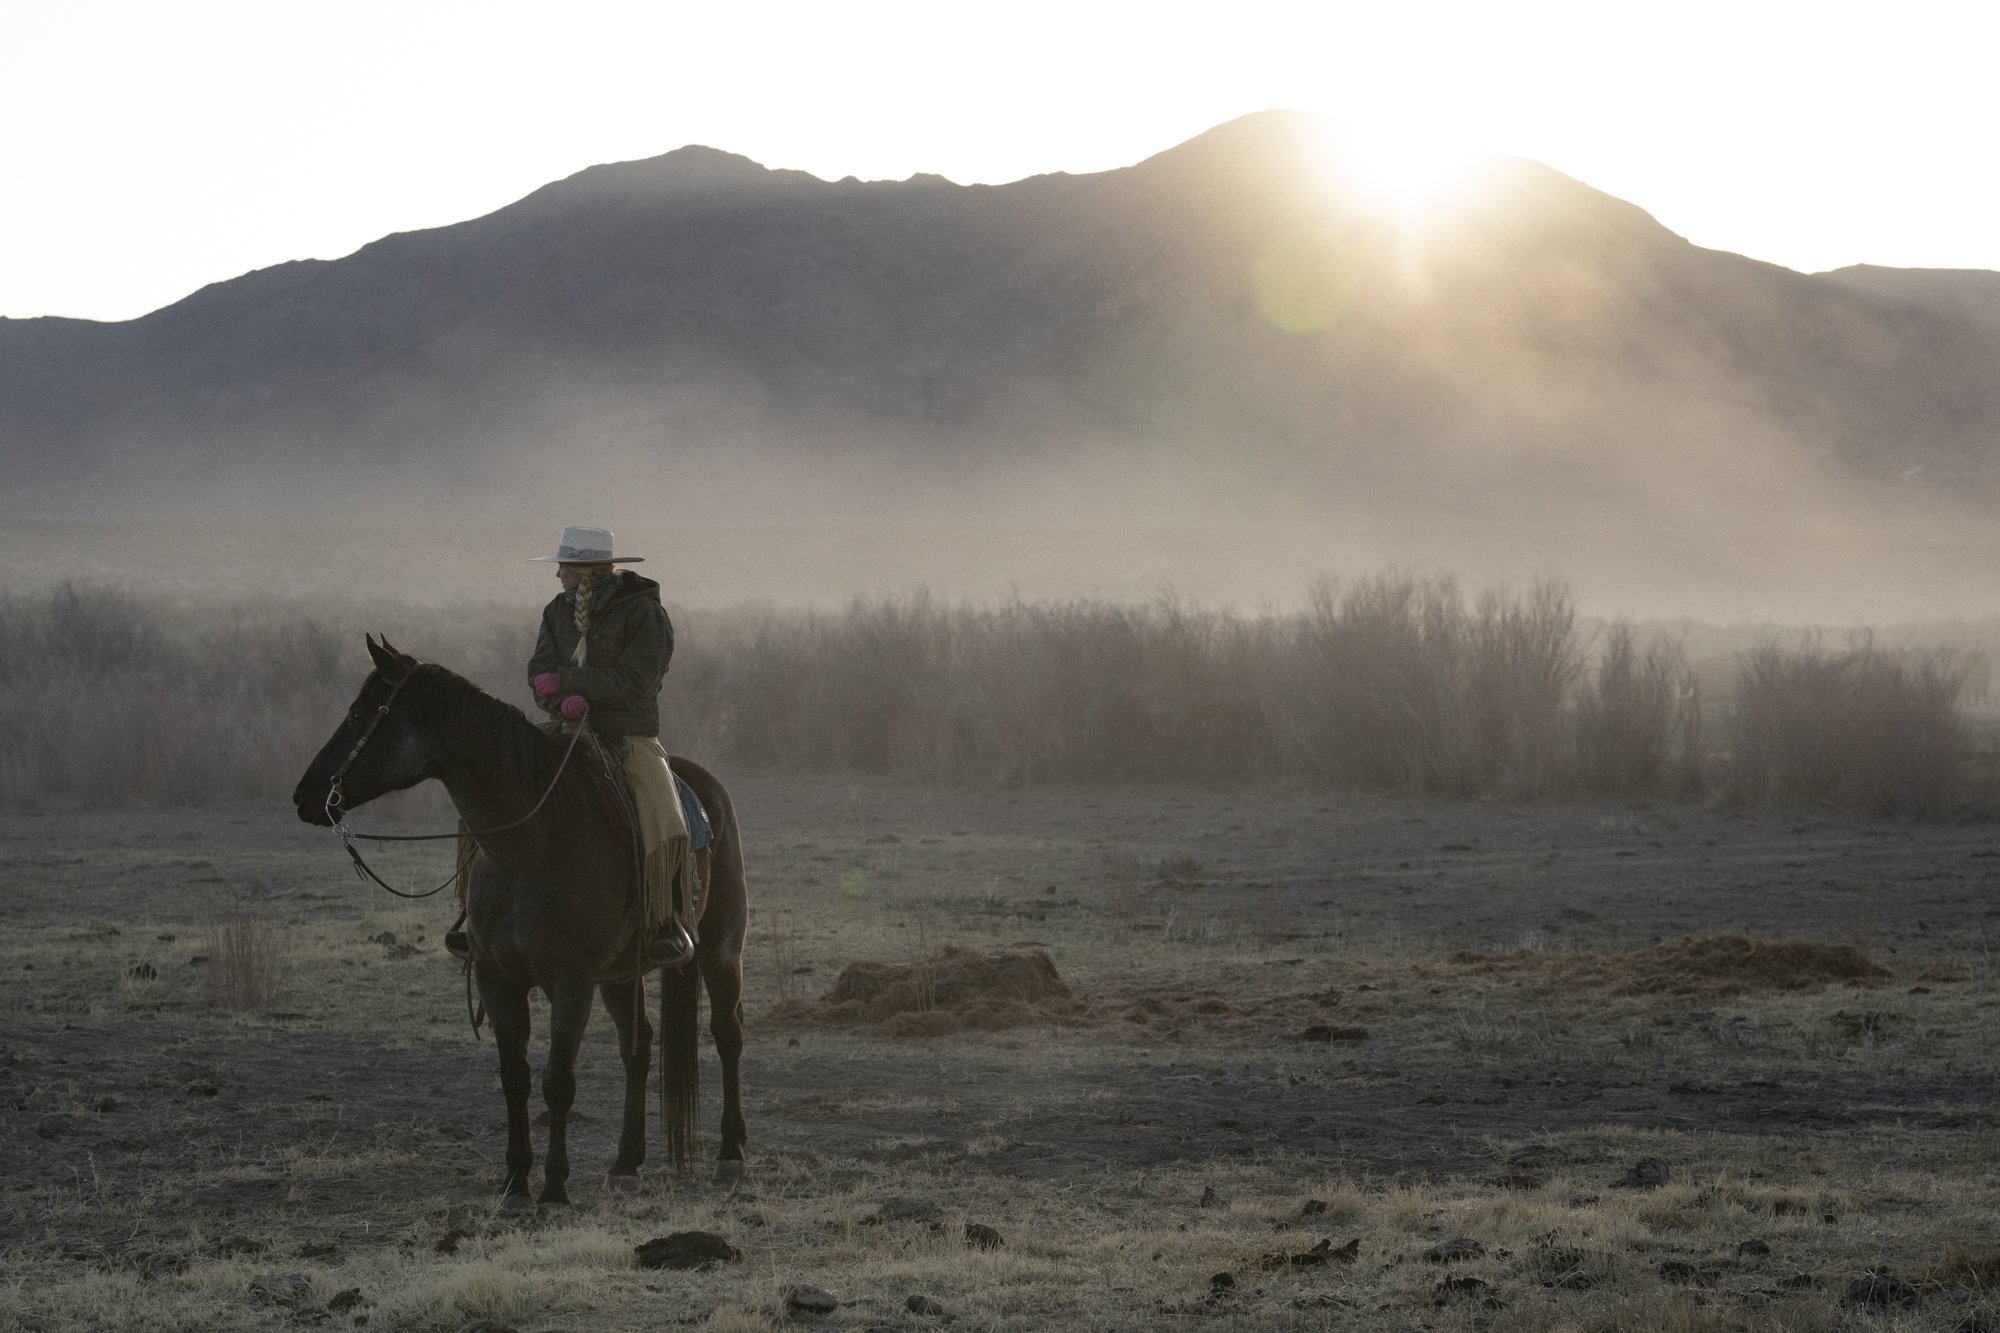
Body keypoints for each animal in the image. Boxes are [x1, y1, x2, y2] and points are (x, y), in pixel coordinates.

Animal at [288, 632, 744, 1192]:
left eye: (358, 714)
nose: (305, 795)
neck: (532, 842)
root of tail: (707, 788)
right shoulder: (496, 978)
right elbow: (515, 1078)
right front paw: (515, 1181)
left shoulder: (572, 981)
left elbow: (557, 1081)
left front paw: (553, 1185)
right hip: (621, 974)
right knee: (637, 1048)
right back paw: (625, 1163)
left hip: (722, 947)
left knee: (727, 1035)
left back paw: (731, 1154)